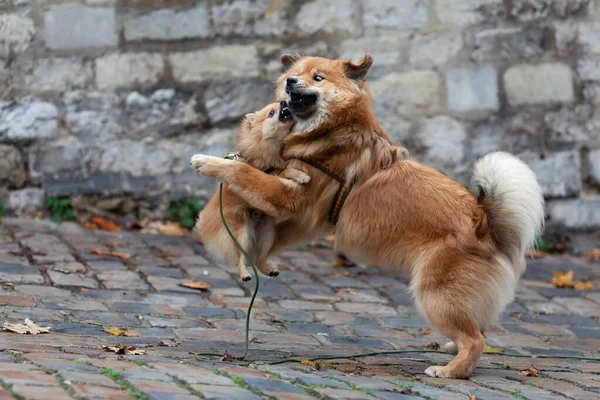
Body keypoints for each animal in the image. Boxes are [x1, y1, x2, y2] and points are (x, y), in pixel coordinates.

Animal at [196, 102, 310, 282]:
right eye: (271, 113)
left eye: (281, 104)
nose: (283, 102)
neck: (272, 148)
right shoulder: (263, 173)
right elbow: (281, 171)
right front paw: (300, 176)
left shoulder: (277, 169)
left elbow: (286, 169)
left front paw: (301, 175)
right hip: (242, 233)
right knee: (241, 258)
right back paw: (245, 274)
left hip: (267, 233)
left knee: (258, 259)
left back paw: (269, 269)